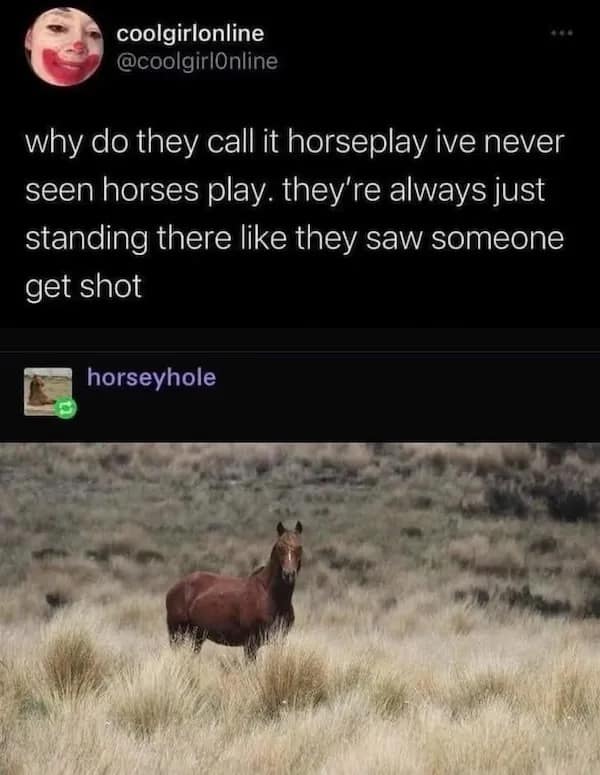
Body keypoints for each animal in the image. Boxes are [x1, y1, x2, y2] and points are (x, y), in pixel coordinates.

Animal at [165, 520, 303, 660]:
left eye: (299, 548)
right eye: (280, 548)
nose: (289, 574)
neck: (269, 595)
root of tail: (174, 588)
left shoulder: (279, 641)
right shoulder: (250, 644)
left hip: (197, 636)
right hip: (176, 634)